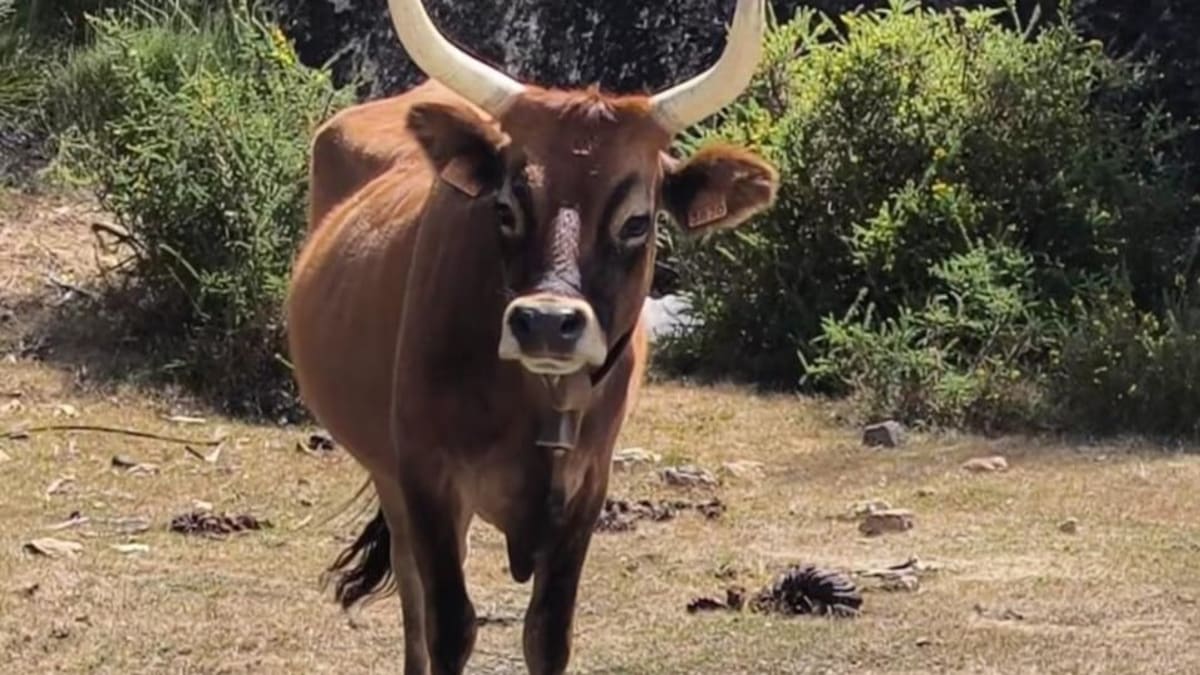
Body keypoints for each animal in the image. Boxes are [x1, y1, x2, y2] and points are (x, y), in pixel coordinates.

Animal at [283, 0, 779, 673]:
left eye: (637, 220)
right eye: (507, 206)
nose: (546, 322)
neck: (534, 401)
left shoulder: (588, 490)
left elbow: (547, 632)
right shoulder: (428, 476)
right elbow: (449, 625)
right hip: (392, 477)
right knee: (412, 592)